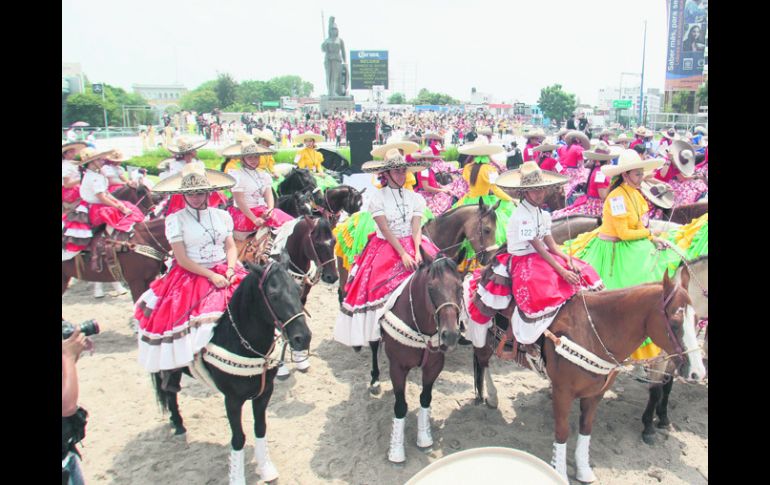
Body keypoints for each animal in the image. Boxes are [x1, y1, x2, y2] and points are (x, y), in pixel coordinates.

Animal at [150, 255, 308, 482]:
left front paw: (266, 469)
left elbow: (261, 427)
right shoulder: (232, 400)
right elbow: (238, 438)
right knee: (168, 389)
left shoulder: (265, 391)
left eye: (298, 289)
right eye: (273, 294)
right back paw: (178, 424)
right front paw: (237, 478)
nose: (303, 338)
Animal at [380, 253, 462, 462]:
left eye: (460, 287)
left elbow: (426, 398)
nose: (450, 335)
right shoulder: (397, 368)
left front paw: (424, 437)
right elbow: (400, 406)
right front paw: (396, 451)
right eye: (431, 288)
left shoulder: (434, 365)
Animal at [464, 270, 704, 482]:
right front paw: (560, 472)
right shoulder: (562, 391)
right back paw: (489, 396)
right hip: (483, 340)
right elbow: (562, 432)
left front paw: (583, 471)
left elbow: (586, 428)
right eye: (674, 322)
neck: (593, 331)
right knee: (482, 362)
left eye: (696, 320)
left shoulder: (595, 393)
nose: (698, 372)